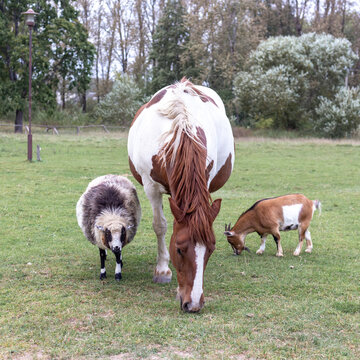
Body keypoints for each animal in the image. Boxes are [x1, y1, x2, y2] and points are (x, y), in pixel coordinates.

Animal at [128, 79, 235, 312]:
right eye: (178, 249)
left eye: (211, 249)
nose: (193, 304)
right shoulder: (151, 187)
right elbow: (160, 226)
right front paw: (162, 270)